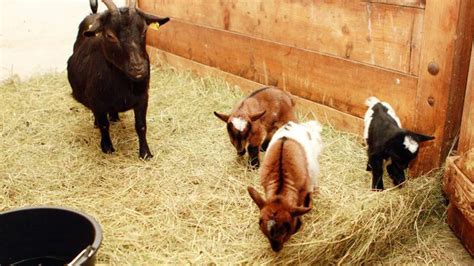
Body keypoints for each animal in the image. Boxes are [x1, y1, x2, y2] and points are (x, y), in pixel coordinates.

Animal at [67, 0, 168, 160]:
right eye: (109, 35)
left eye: (144, 30)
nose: (138, 68)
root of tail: (94, 13)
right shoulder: (97, 102)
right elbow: (104, 125)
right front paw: (107, 148)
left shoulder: (143, 98)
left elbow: (141, 126)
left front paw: (146, 153)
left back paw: (114, 117)